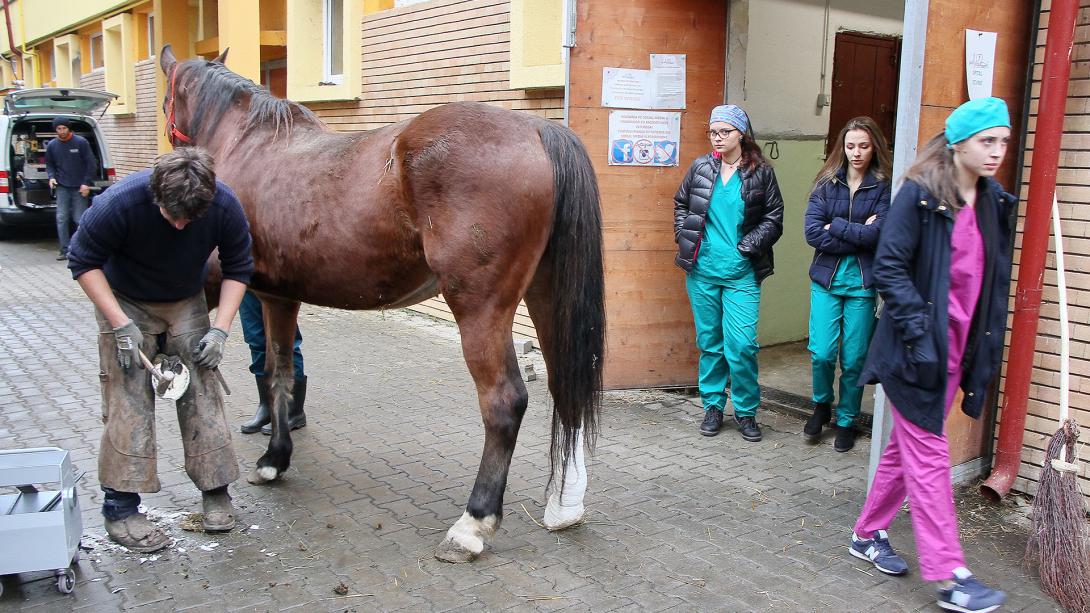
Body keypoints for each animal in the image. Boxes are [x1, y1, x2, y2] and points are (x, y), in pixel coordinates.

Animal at [159, 46, 606, 558]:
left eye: (168, 100)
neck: (251, 146)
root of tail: (536, 129)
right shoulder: (279, 297)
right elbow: (280, 375)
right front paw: (276, 458)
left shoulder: (234, 288)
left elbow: (269, 374)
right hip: (546, 295)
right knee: (564, 385)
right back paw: (564, 506)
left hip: (480, 309)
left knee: (504, 401)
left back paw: (474, 523)